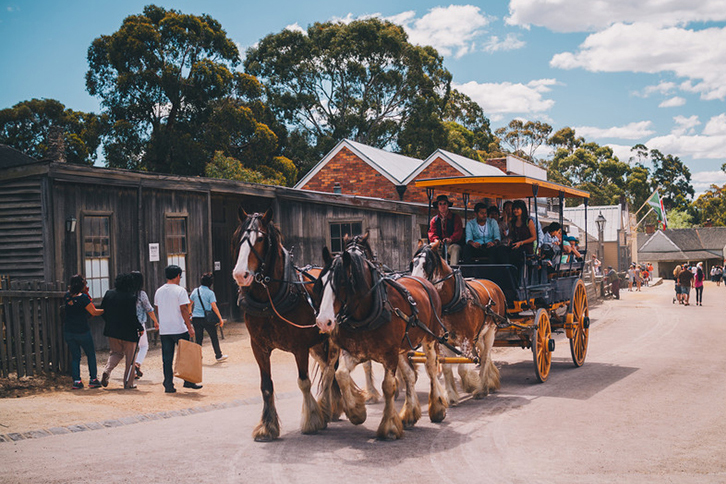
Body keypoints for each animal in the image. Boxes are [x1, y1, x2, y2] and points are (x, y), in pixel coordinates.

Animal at [232, 208, 340, 442]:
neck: (269, 301)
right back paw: (332, 407)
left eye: (260, 238)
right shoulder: (259, 347)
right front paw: (267, 426)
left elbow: (304, 382)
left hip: (331, 339)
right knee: (326, 367)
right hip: (316, 343)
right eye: (238, 238)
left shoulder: (299, 347)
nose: (240, 275)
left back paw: (328, 407)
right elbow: (266, 386)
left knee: (330, 370)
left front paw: (311, 421)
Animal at [314, 246, 446, 438]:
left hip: (430, 339)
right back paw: (409, 414)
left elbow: (388, 386)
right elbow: (341, 374)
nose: (323, 321)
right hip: (403, 347)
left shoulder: (390, 355)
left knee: (431, 369)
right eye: (321, 282)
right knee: (409, 375)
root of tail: (424, 281)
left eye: (342, 282)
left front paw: (389, 427)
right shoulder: (356, 352)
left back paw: (437, 408)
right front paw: (356, 412)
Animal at [412, 240, 510, 402]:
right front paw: (451, 395)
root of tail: (495, 286)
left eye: (428, 263)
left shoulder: (466, 340)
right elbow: (447, 367)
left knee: (485, 357)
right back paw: (490, 380)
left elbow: (462, 367)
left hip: (491, 331)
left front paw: (470, 384)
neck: (452, 302)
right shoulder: (443, 341)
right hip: (479, 334)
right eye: (413, 262)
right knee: (485, 353)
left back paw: (483, 388)